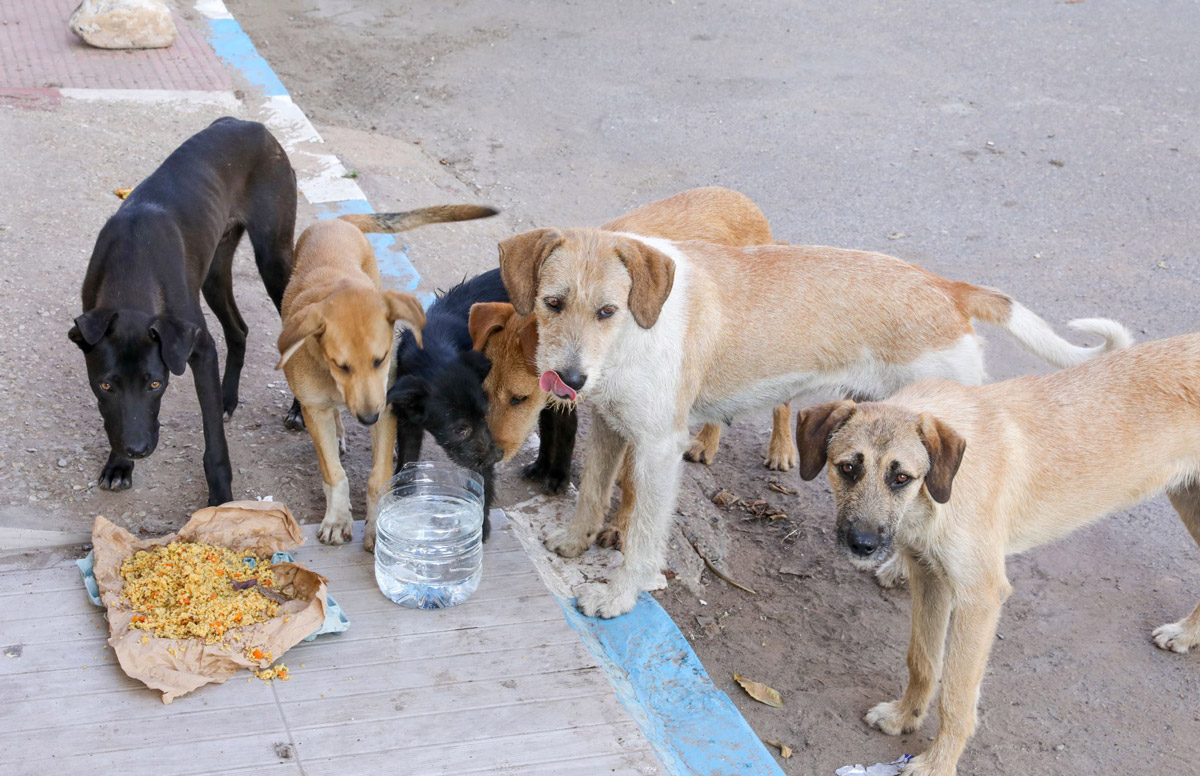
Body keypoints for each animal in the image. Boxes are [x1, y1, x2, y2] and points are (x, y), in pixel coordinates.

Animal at [70, 113, 297, 503]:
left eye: (155, 383)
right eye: (105, 386)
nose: (137, 450)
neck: (133, 264)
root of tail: (249, 123)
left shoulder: (200, 349)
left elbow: (213, 439)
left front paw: (221, 497)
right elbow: (115, 419)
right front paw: (118, 465)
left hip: (274, 262)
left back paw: (298, 410)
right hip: (214, 273)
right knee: (238, 329)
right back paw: (227, 398)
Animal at [280, 203, 496, 549]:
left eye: (380, 360)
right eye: (341, 365)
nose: (368, 418)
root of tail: (337, 222)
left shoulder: (388, 408)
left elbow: (378, 476)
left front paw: (375, 527)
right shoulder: (315, 409)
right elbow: (333, 472)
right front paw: (337, 519)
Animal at [499, 230, 1132, 618]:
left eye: (607, 311)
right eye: (552, 303)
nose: (568, 380)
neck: (635, 331)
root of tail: (947, 289)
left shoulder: (656, 448)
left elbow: (641, 536)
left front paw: (620, 596)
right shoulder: (610, 427)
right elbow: (592, 493)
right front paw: (574, 542)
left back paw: (899, 569)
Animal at [792, 333, 1200, 776]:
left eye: (901, 478)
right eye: (847, 468)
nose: (862, 544)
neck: (940, 489)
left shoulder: (980, 599)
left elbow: (956, 696)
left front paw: (938, 763)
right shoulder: (930, 578)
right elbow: (923, 660)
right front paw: (905, 717)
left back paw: (1186, 632)